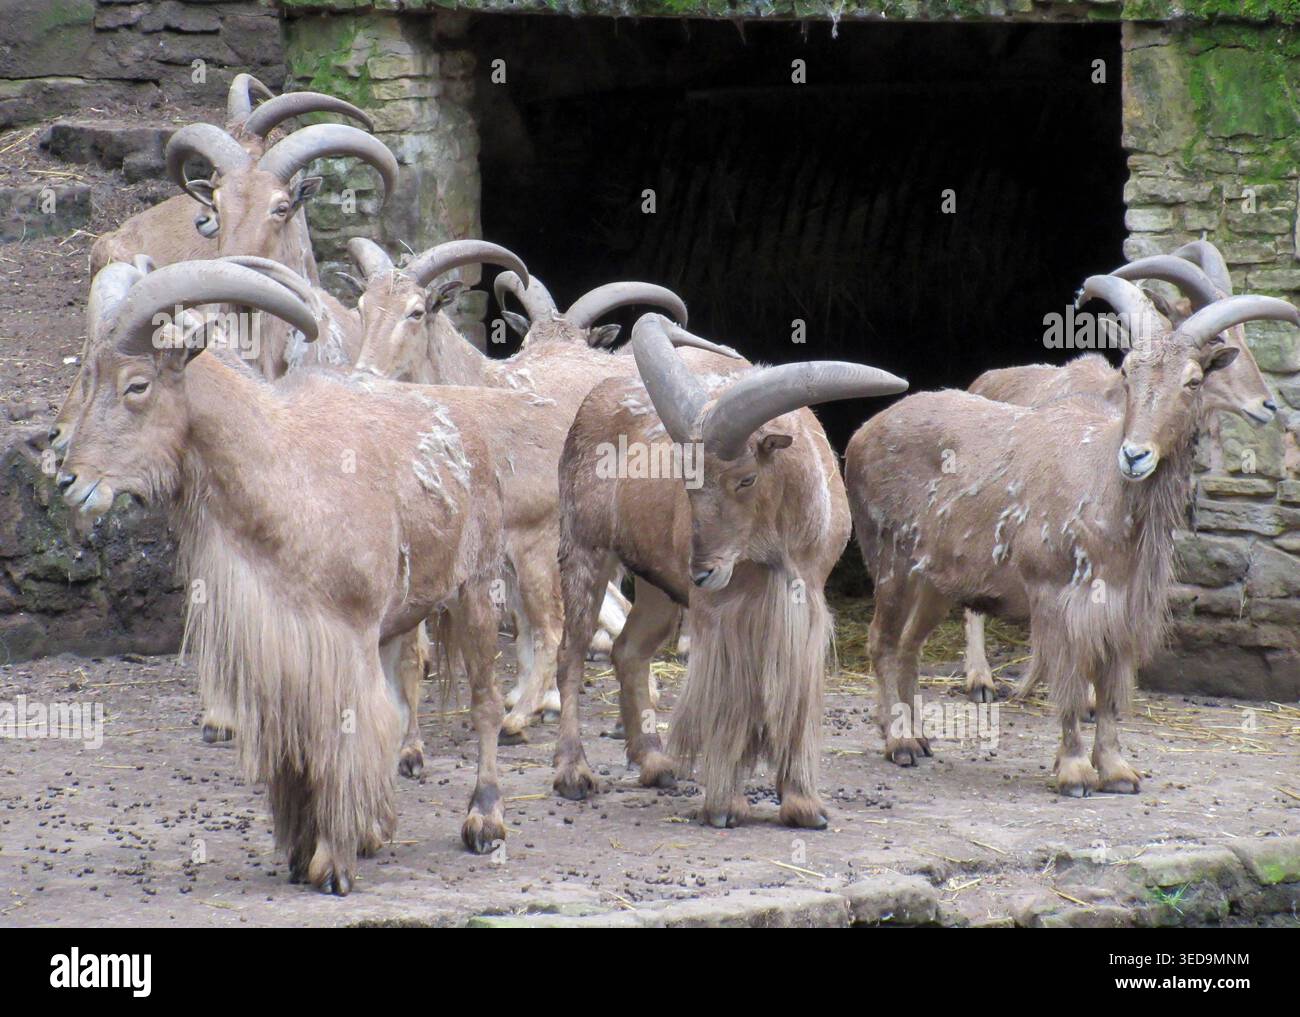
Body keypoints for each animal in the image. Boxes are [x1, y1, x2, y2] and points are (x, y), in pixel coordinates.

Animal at [56, 259, 570, 892]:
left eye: (136, 385)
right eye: (90, 378)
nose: (69, 481)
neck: (280, 473)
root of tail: (468, 419)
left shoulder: (340, 642)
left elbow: (348, 734)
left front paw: (332, 863)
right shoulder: (282, 651)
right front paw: (304, 851)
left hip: (473, 586)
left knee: (484, 702)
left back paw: (484, 819)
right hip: (398, 618)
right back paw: (379, 825)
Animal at [551, 313, 906, 827]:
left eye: (746, 478)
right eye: (687, 478)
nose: (702, 572)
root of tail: (592, 399)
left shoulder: (803, 601)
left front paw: (802, 803)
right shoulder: (720, 612)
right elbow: (729, 699)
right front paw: (724, 805)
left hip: (659, 583)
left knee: (629, 651)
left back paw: (655, 762)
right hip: (585, 550)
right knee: (571, 655)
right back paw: (573, 772)